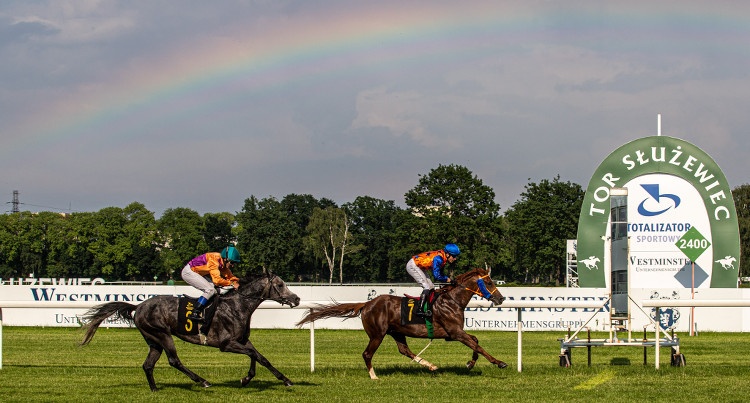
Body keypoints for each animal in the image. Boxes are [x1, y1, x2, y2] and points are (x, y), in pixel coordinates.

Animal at [296, 268, 508, 378]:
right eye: (489, 282)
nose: (501, 298)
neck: (452, 300)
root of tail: (367, 304)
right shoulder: (454, 332)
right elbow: (477, 344)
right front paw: (499, 362)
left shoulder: (451, 334)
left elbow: (475, 340)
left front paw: (470, 364)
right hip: (377, 334)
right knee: (367, 354)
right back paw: (374, 376)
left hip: (397, 331)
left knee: (404, 350)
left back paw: (431, 366)